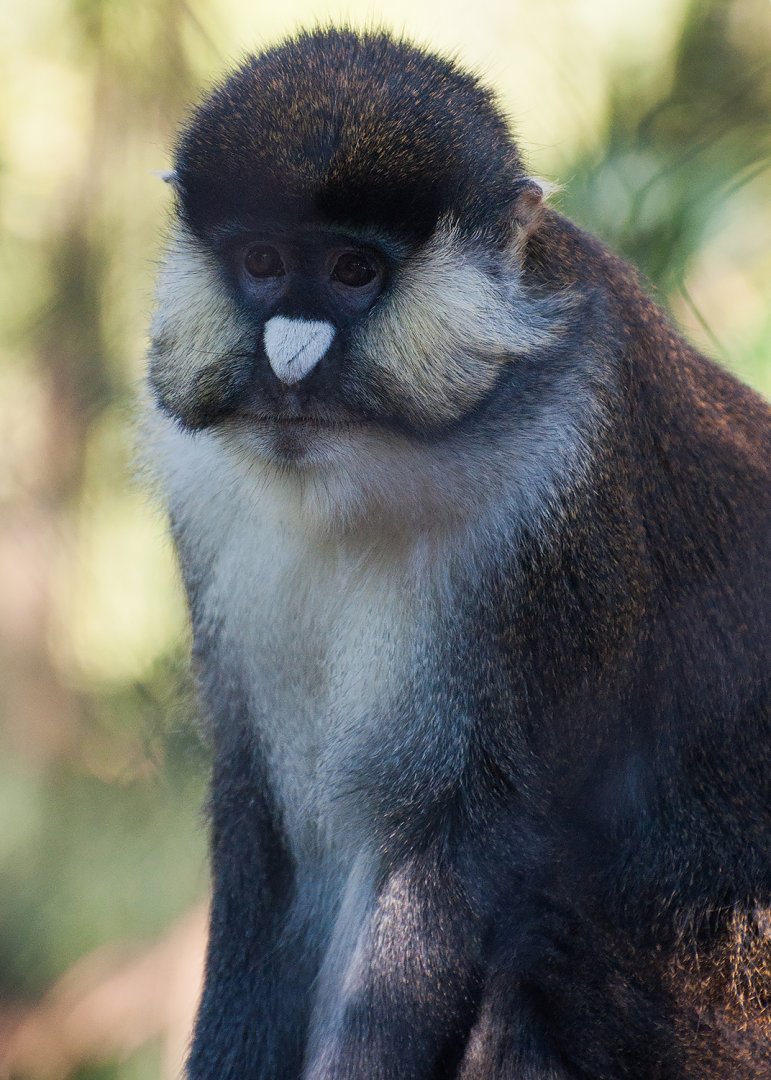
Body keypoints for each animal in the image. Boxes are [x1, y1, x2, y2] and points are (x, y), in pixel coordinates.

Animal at [144, 27, 771, 1080]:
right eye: (263, 263)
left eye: (356, 272)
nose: (287, 362)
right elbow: (264, 842)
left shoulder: (561, 481)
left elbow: (461, 842)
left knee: (533, 962)